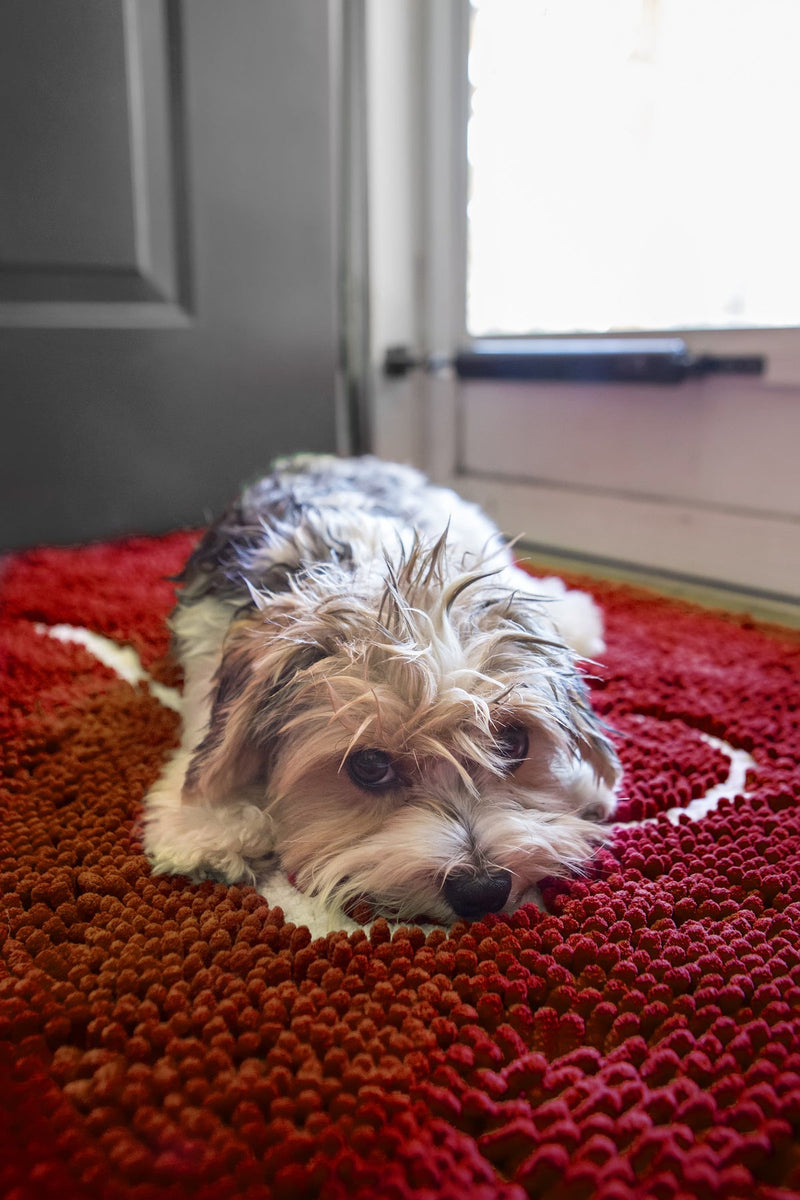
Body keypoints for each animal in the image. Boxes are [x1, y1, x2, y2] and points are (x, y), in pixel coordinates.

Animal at [142, 453, 618, 921]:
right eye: (370, 765)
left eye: (513, 742)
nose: (483, 891)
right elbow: (208, 744)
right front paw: (211, 822)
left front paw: (580, 782)